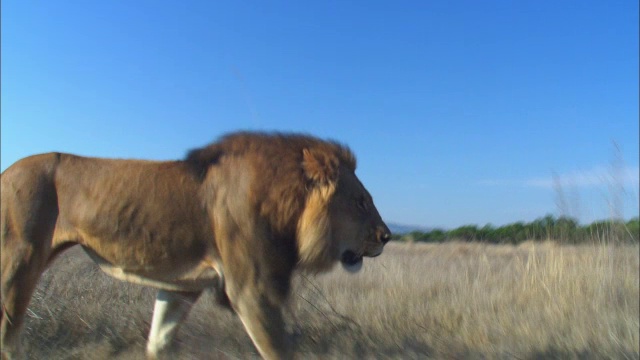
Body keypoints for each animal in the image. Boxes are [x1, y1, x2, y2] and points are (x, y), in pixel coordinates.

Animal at [0, 132, 390, 360]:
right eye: (360, 202)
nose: (387, 236)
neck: (287, 206)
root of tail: (7, 171)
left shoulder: (180, 288)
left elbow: (158, 341)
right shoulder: (252, 291)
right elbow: (277, 350)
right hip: (20, 261)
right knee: (8, 333)